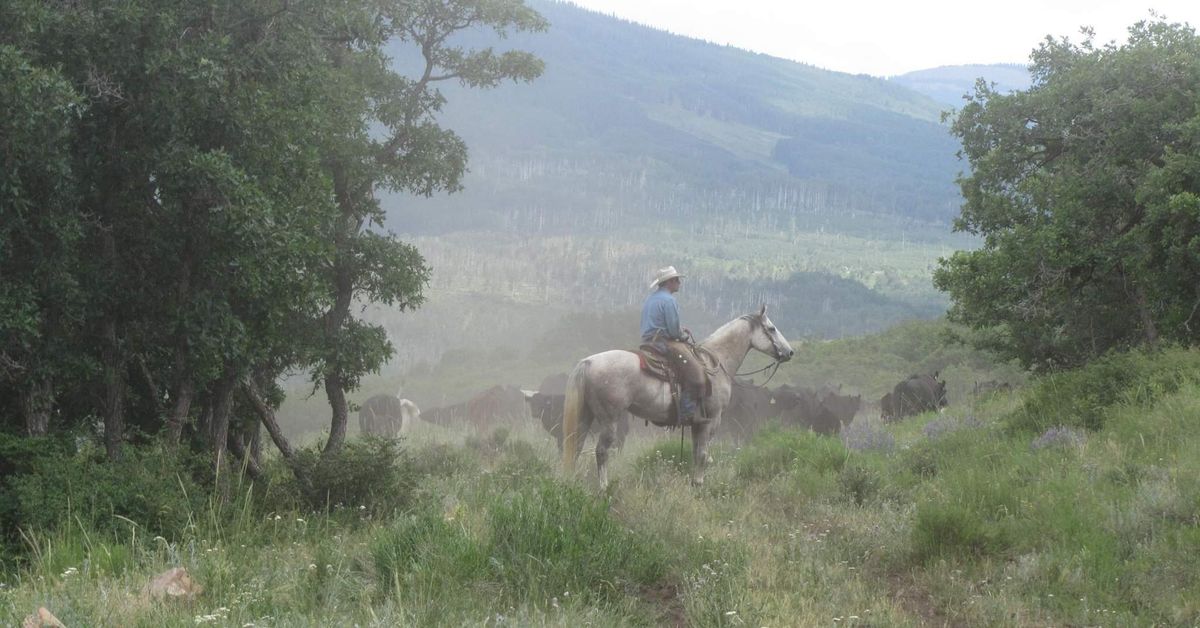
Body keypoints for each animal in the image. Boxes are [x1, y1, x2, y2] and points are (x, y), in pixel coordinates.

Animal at [564, 304, 796, 487]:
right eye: (772, 328)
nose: (790, 352)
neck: (716, 362)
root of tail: (588, 362)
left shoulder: (696, 423)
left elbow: (696, 454)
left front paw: (694, 483)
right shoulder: (712, 420)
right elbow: (703, 455)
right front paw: (699, 485)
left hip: (585, 416)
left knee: (575, 447)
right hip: (609, 419)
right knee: (601, 451)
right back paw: (603, 488)